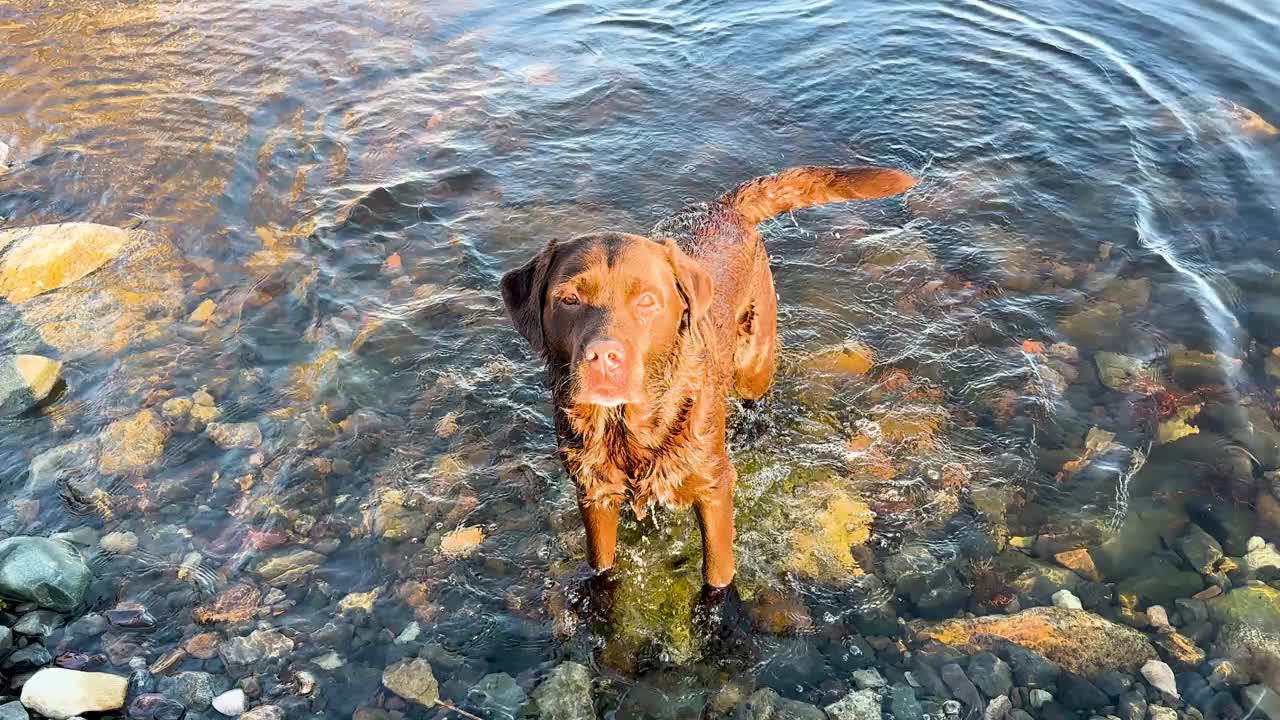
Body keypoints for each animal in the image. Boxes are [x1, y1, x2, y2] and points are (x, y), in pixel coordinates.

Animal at [501, 165, 921, 586]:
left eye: (647, 301)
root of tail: (724, 206)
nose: (603, 356)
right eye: (569, 299)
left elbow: (718, 570)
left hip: (753, 362)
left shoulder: (714, 486)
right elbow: (603, 562)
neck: (628, 428)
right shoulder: (594, 493)